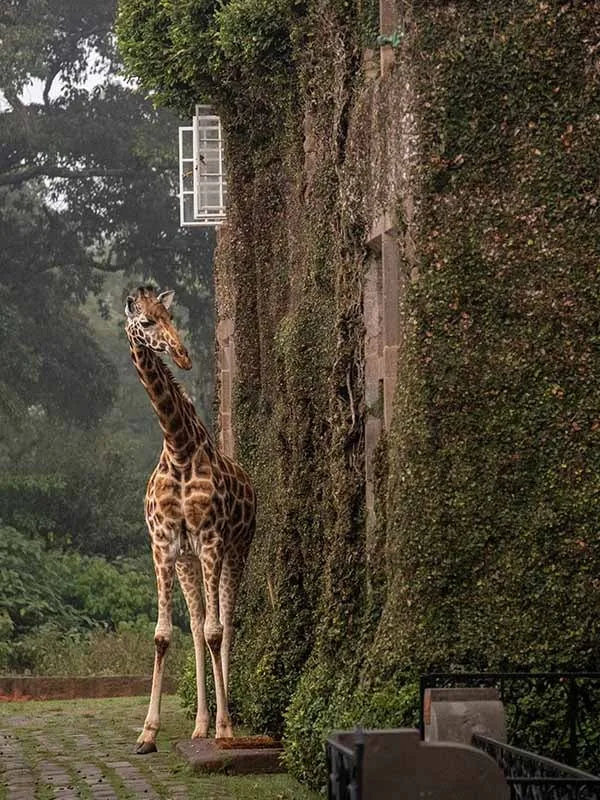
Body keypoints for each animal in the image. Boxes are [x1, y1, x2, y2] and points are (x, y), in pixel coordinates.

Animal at [124, 285, 255, 753]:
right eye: (146, 322)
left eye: (170, 315)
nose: (182, 356)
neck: (178, 449)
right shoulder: (164, 545)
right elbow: (165, 634)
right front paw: (147, 733)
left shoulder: (214, 539)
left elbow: (219, 631)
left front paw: (225, 728)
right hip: (188, 560)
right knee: (199, 626)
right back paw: (200, 725)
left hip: (237, 550)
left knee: (225, 625)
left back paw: (220, 724)